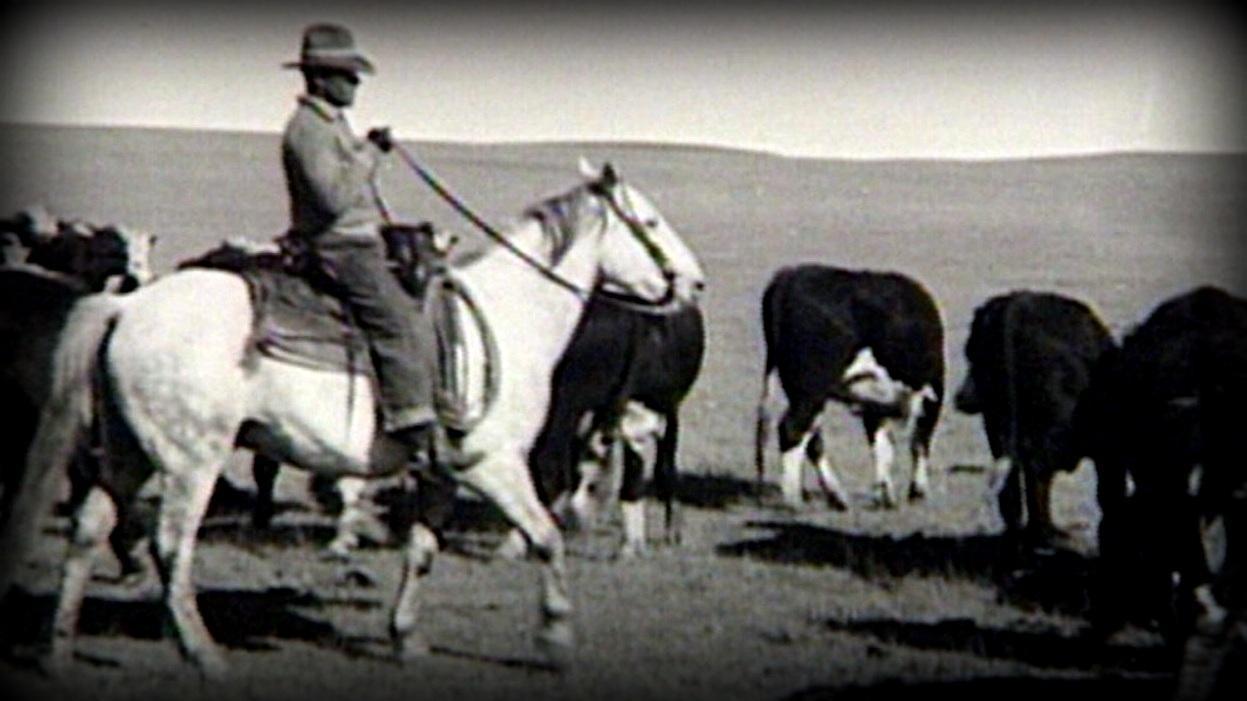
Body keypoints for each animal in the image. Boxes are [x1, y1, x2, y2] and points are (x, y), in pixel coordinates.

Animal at [0, 159, 703, 678]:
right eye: (648, 221)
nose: (694, 282)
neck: (508, 319)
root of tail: (126, 307)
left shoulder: (441, 472)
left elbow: (422, 551)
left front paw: (406, 637)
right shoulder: (494, 464)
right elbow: (546, 538)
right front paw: (556, 640)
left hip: (128, 451)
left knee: (89, 530)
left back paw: (59, 650)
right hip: (188, 459)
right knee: (170, 546)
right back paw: (204, 656)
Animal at [748, 261, 942, 506]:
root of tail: (788, 275)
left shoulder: (875, 402)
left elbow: (883, 445)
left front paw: (885, 493)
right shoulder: (931, 392)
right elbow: (919, 441)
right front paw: (917, 490)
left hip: (803, 392)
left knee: (812, 438)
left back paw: (835, 495)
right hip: (810, 389)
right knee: (792, 430)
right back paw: (793, 499)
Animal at [947, 290, 1117, 546]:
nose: (961, 397)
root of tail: (1015, 305)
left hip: (997, 424)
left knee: (1014, 480)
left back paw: (1020, 533)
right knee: (1037, 471)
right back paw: (1046, 534)